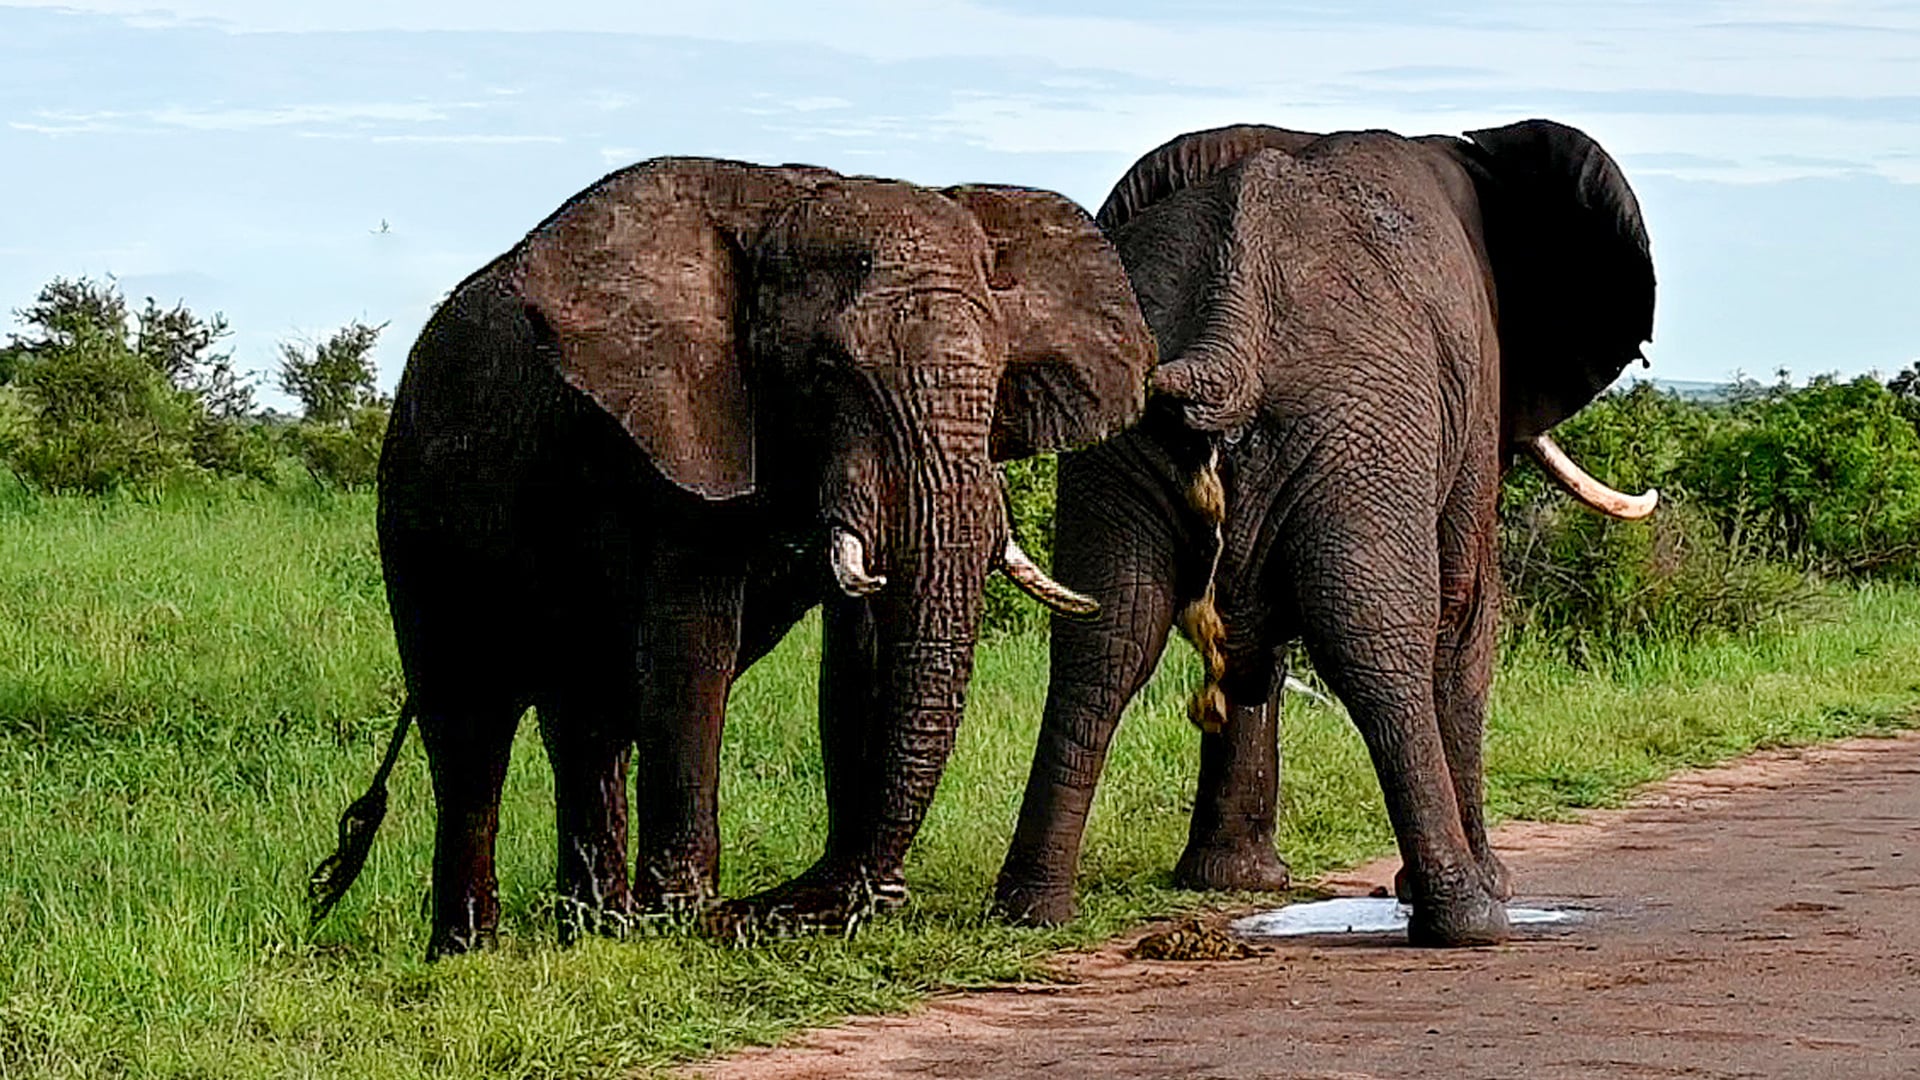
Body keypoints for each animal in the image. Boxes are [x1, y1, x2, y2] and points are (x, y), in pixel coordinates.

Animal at [306, 156, 1155, 957]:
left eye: (1000, 374)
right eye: (828, 374)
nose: (791, 900)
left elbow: (862, 650)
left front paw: (855, 903)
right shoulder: (667, 435)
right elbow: (694, 646)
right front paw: (687, 917)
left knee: (587, 721)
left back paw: (595, 928)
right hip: (416, 510)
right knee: (469, 726)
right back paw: (471, 950)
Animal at [991, 120, 1658, 947]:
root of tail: (1228, 327)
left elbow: (1243, 639)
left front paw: (1234, 883)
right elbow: (1464, 613)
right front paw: (1493, 881)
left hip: (1123, 440)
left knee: (1106, 640)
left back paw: (1031, 911)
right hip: (1361, 429)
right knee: (1380, 642)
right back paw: (1471, 917)